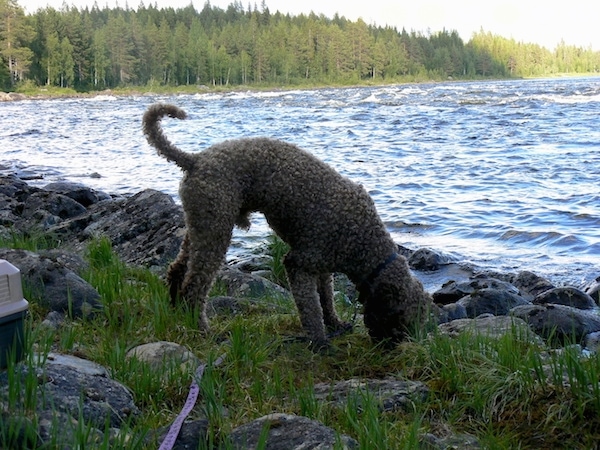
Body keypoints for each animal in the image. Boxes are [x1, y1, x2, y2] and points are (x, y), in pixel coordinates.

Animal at [142, 103, 432, 348]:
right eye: (401, 322)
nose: (391, 348)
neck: (361, 239)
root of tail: (195, 159)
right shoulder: (298, 264)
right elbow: (310, 308)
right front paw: (319, 341)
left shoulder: (322, 267)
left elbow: (326, 298)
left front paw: (334, 323)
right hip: (216, 232)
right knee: (195, 287)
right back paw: (202, 328)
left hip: (201, 226)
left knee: (177, 270)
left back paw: (176, 310)